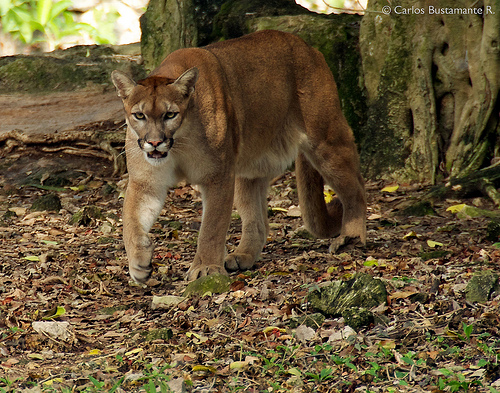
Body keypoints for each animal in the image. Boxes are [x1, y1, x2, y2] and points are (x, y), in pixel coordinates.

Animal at [111, 29, 366, 282]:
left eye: (170, 114)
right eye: (139, 115)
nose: (155, 142)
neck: (179, 143)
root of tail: (308, 47)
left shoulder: (218, 176)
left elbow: (211, 227)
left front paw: (205, 267)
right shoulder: (146, 182)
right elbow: (130, 221)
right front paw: (138, 263)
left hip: (326, 141)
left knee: (356, 188)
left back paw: (351, 237)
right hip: (249, 168)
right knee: (258, 220)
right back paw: (242, 256)